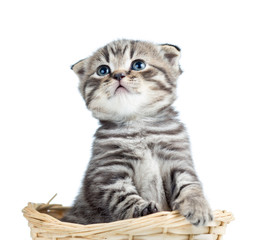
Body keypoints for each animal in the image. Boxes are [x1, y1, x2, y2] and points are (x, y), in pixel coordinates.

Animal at [62, 39, 212, 225]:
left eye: (138, 65)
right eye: (103, 70)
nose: (118, 75)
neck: (137, 123)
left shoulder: (177, 160)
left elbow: (190, 184)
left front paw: (198, 206)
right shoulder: (108, 172)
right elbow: (122, 197)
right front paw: (142, 209)